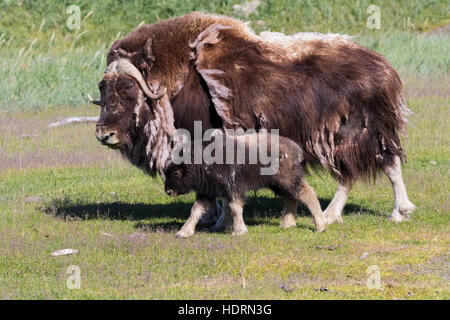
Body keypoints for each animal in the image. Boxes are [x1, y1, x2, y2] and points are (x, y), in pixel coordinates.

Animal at [163, 133, 326, 238]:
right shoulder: (207, 192)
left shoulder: (233, 187)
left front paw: (239, 231)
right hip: (278, 184)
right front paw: (183, 232)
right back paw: (287, 224)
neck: (201, 163)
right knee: (291, 199)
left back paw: (320, 226)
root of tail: (295, 149)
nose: (168, 191)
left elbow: (235, 208)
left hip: (287, 179)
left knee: (307, 193)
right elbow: (195, 210)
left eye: (176, 173)